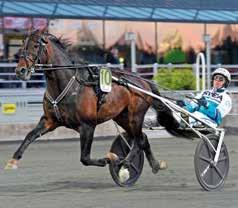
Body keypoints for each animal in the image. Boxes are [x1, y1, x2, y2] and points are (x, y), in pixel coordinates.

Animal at [4, 28, 169, 179]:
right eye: (22, 45)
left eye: (36, 45)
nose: (20, 70)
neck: (69, 85)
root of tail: (144, 82)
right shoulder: (49, 121)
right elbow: (30, 135)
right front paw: (13, 161)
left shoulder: (88, 125)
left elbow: (85, 158)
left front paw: (111, 158)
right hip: (122, 117)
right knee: (142, 138)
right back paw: (155, 165)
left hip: (135, 116)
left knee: (138, 140)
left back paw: (125, 166)